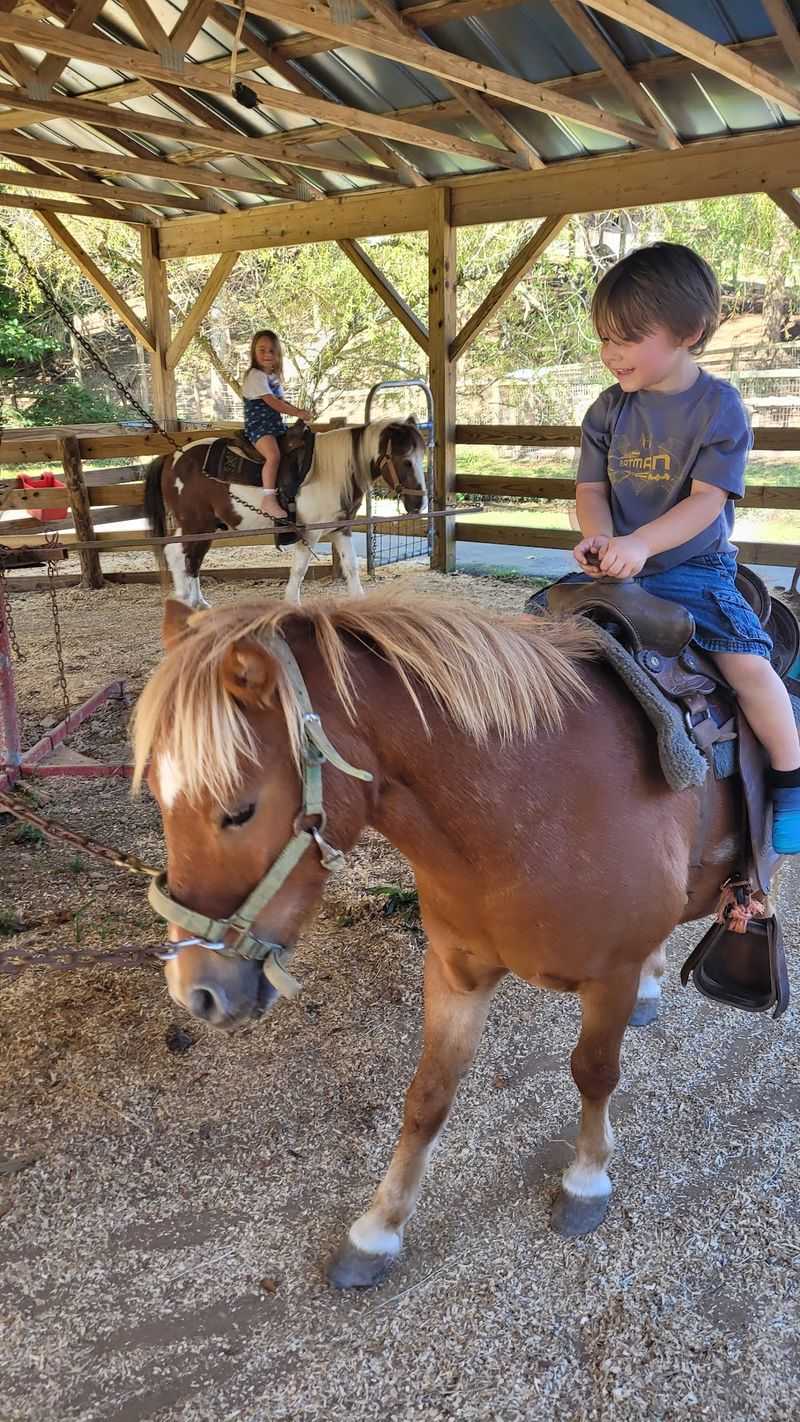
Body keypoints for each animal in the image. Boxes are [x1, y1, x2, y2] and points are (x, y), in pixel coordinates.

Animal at [132, 591, 742, 1289]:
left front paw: (586, 1181)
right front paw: (378, 1230)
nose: (195, 989)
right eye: (158, 795)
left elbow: (594, 1073)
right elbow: (428, 1096)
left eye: (238, 810)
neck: (533, 807)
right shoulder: (457, 972)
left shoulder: (608, 976)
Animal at [143, 418, 427, 608]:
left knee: (193, 560)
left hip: (207, 527)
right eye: (405, 461)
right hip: (194, 524)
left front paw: (359, 601)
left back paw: (199, 602)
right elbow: (299, 569)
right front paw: (292, 603)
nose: (419, 504)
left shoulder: (340, 529)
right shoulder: (308, 532)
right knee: (177, 554)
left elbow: (351, 566)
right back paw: (184, 601)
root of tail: (171, 457)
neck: (333, 470)